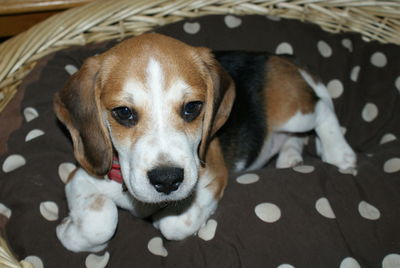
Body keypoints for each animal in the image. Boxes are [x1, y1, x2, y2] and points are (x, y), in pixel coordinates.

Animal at [53, 32, 356, 252]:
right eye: (123, 113)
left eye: (192, 108)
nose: (167, 180)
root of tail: (278, 58)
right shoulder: (80, 178)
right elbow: (99, 223)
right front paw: (71, 233)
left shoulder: (214, 176)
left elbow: (175, 225)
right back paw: (290, 157)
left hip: (293, 112)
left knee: (322, 109)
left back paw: (339, 153)